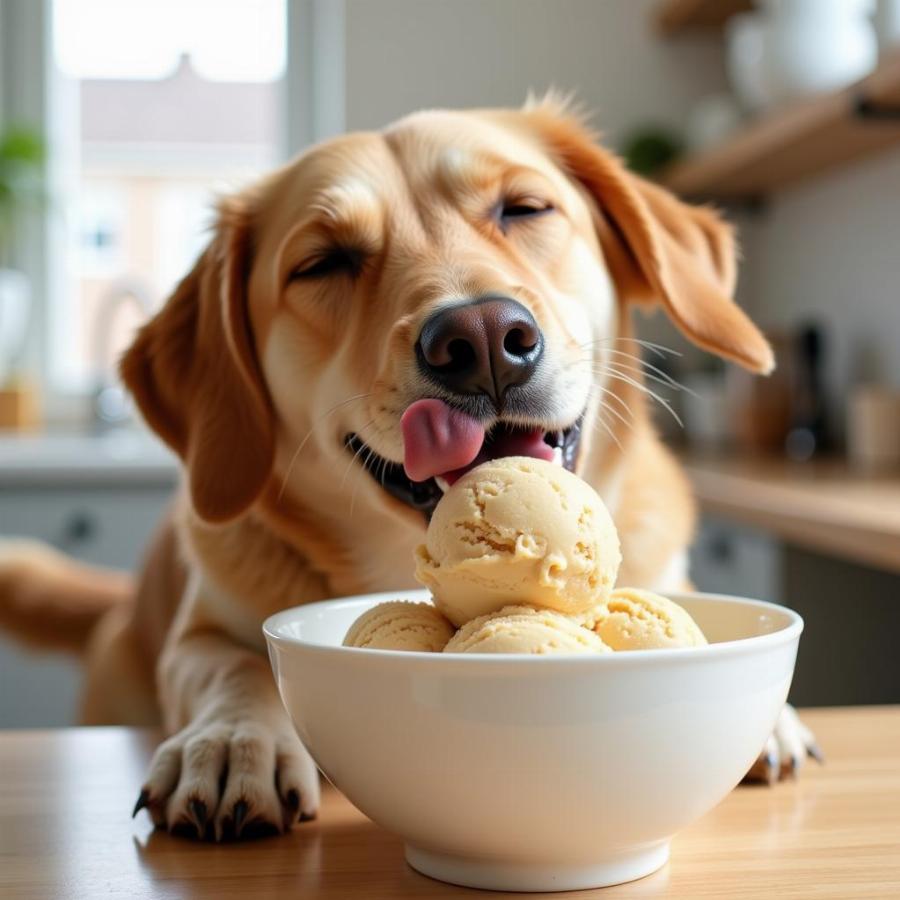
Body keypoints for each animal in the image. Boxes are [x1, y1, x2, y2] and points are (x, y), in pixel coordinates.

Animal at [0, 102, 816, 840]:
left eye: (524, 208)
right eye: (323, 262)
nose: (482, 337)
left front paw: (773, 719)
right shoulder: (199, 635)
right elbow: (233, 667)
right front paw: (234, 740)